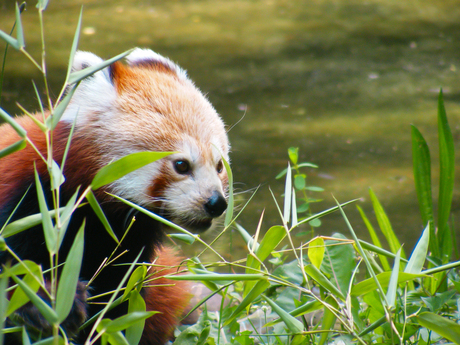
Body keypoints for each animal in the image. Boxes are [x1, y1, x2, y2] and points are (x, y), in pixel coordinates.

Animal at [0, 49, 230, 344]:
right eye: (181, 165)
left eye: (219, 165)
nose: (216, 203)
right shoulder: (26, 201)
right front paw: (46, 301)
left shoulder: (127, 248)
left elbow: (119, 305)